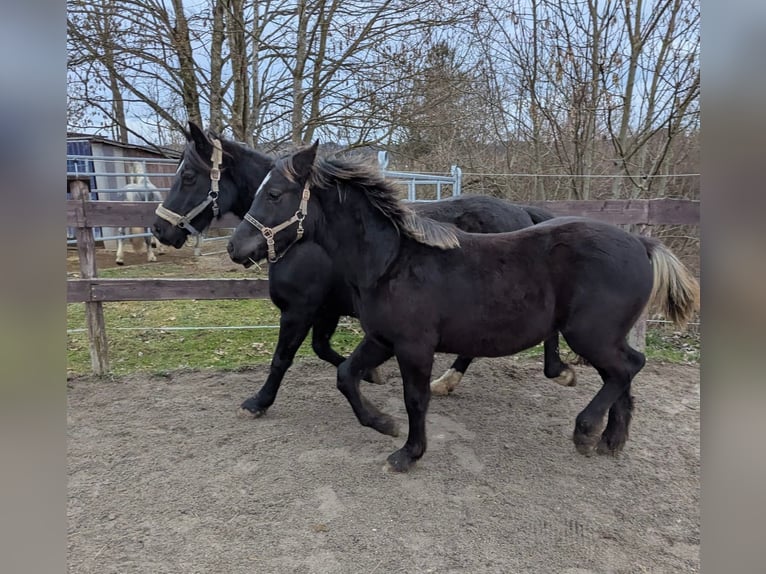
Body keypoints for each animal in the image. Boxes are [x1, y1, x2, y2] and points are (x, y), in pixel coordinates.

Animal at [152, 123, 573, 420]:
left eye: (188, 176)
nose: (159, 229)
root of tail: (521, 212)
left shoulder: (301, 308)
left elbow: (283, 357)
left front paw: (259, 401)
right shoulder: (326, 310)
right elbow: (323, 350)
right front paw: (372, 374)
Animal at [227, 142, 700, 472]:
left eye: (275, 194)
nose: (236, 248)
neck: (392, 262)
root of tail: (642, 244)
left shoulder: (413, 345)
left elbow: (415, 398)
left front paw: (408, 453)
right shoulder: (381, 338)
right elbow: (346, 375)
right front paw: (383, 423)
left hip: (591, 335)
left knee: (628, 367)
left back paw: (586, 432)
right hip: (602, 337)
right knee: (624, 373)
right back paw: (611, 440)